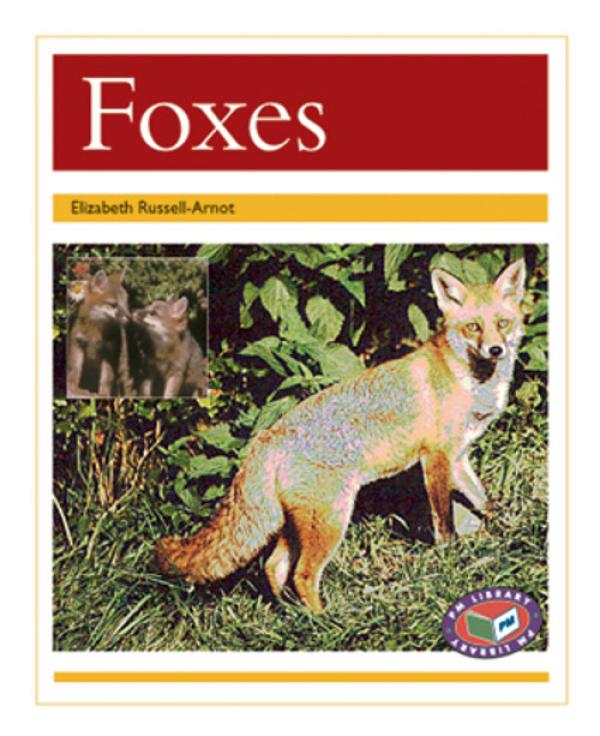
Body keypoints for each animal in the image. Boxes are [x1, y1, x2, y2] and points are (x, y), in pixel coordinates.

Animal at [156, 259, 527, 614]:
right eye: (473, 327)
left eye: (502, 324)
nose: (496, 350)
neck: (466, 378)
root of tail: (267, 436)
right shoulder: (435, 457)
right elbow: (443, 520)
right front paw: (450, 555)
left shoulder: (458, 457)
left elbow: (483, 500)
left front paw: (504, 526)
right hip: (331, 519)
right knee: (303, 575)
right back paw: (327, 622)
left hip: (298, 524)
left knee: (274, 568)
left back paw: (292, 616)